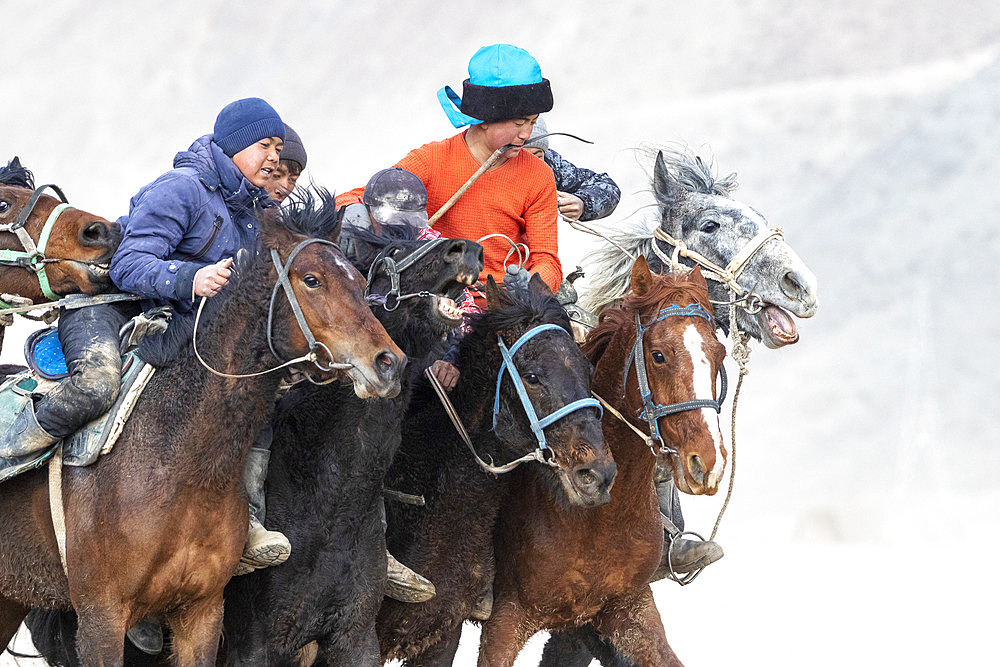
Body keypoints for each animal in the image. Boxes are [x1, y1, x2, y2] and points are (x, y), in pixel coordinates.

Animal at [0, 206, 406, 664]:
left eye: (360, 283)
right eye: (312, 279)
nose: (389, 362)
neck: (176, 464)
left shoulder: (203, 611)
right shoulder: (100, 617)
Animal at [478, 258, 728, 664]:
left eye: (719, 354)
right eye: (658, 355)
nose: (708, 462)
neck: (598, 517)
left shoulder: (627, 609)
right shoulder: (505, 620)